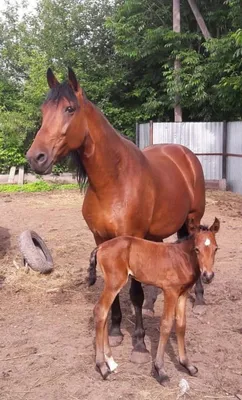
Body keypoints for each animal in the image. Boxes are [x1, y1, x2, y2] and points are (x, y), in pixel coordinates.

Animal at [26, 68, 204, 362]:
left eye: (70, 109)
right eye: (43, 110)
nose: (35, 158)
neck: (114, 180)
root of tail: (185, 155)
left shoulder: (130, 237)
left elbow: (134, 292)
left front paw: (139, 344)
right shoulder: (102, 240)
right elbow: (116, 289)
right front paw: (116, 331)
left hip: (193, 220)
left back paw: (199, 299)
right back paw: (154, 305)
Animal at [88, 219, 219, 384]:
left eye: (216, 249)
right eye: (197, 249)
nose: (208, 276)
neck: (182, 258)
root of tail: (100, 247)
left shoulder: (182, 293)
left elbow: (181, 325)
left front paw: (187, 365)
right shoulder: (170, 291)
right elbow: (166, 325)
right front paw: (160, 371)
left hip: (112, 285)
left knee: (104, 314)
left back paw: (111, 363)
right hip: (114, 283)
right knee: (100, 311)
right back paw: (102, 367)